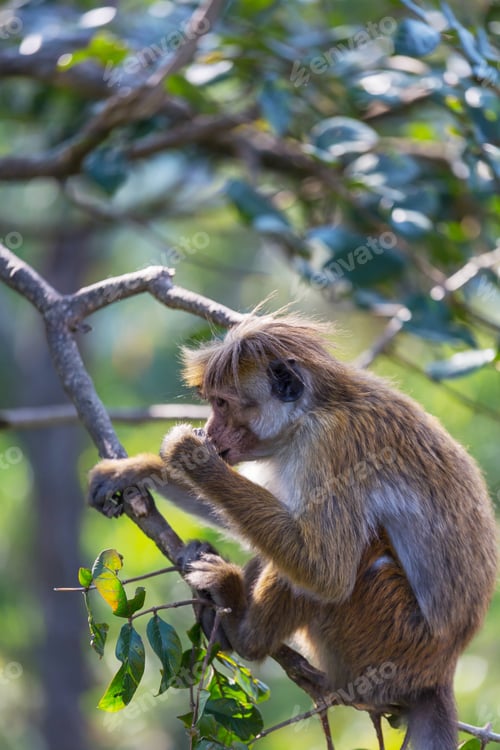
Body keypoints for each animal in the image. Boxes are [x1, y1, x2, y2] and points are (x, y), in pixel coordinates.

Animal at [88, 312, 497, 750]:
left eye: (222, 404)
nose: (211, 430)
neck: (312, 411)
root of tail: (441, 672)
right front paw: (137, 469)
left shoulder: (330, 444)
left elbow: (327, 571)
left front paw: (190, 456)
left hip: (391, 644)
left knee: (354, 559)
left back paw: (243, 632)